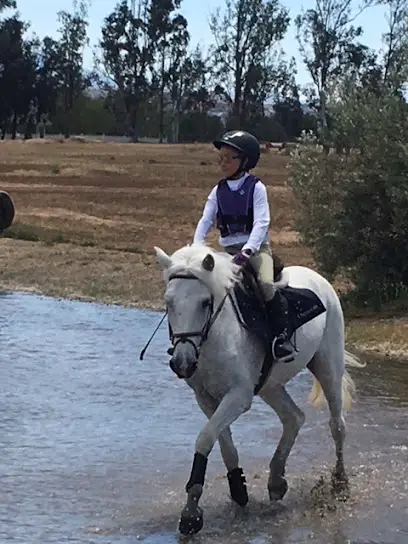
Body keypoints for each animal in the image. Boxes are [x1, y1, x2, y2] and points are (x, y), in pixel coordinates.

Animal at [155, 244, 364, 536]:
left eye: (205, 302)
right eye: (169, 302)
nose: (182, 363)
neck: (216, 335)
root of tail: (319, 279)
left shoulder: (238, 396)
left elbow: (205, 438)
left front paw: (191, 514)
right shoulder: (205, 398)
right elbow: (224, 445)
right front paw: (238, 491)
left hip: (328, 366)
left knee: (337, 425)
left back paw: (340, 483)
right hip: (270, 386)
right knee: (294, 418)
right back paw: (276, 481)